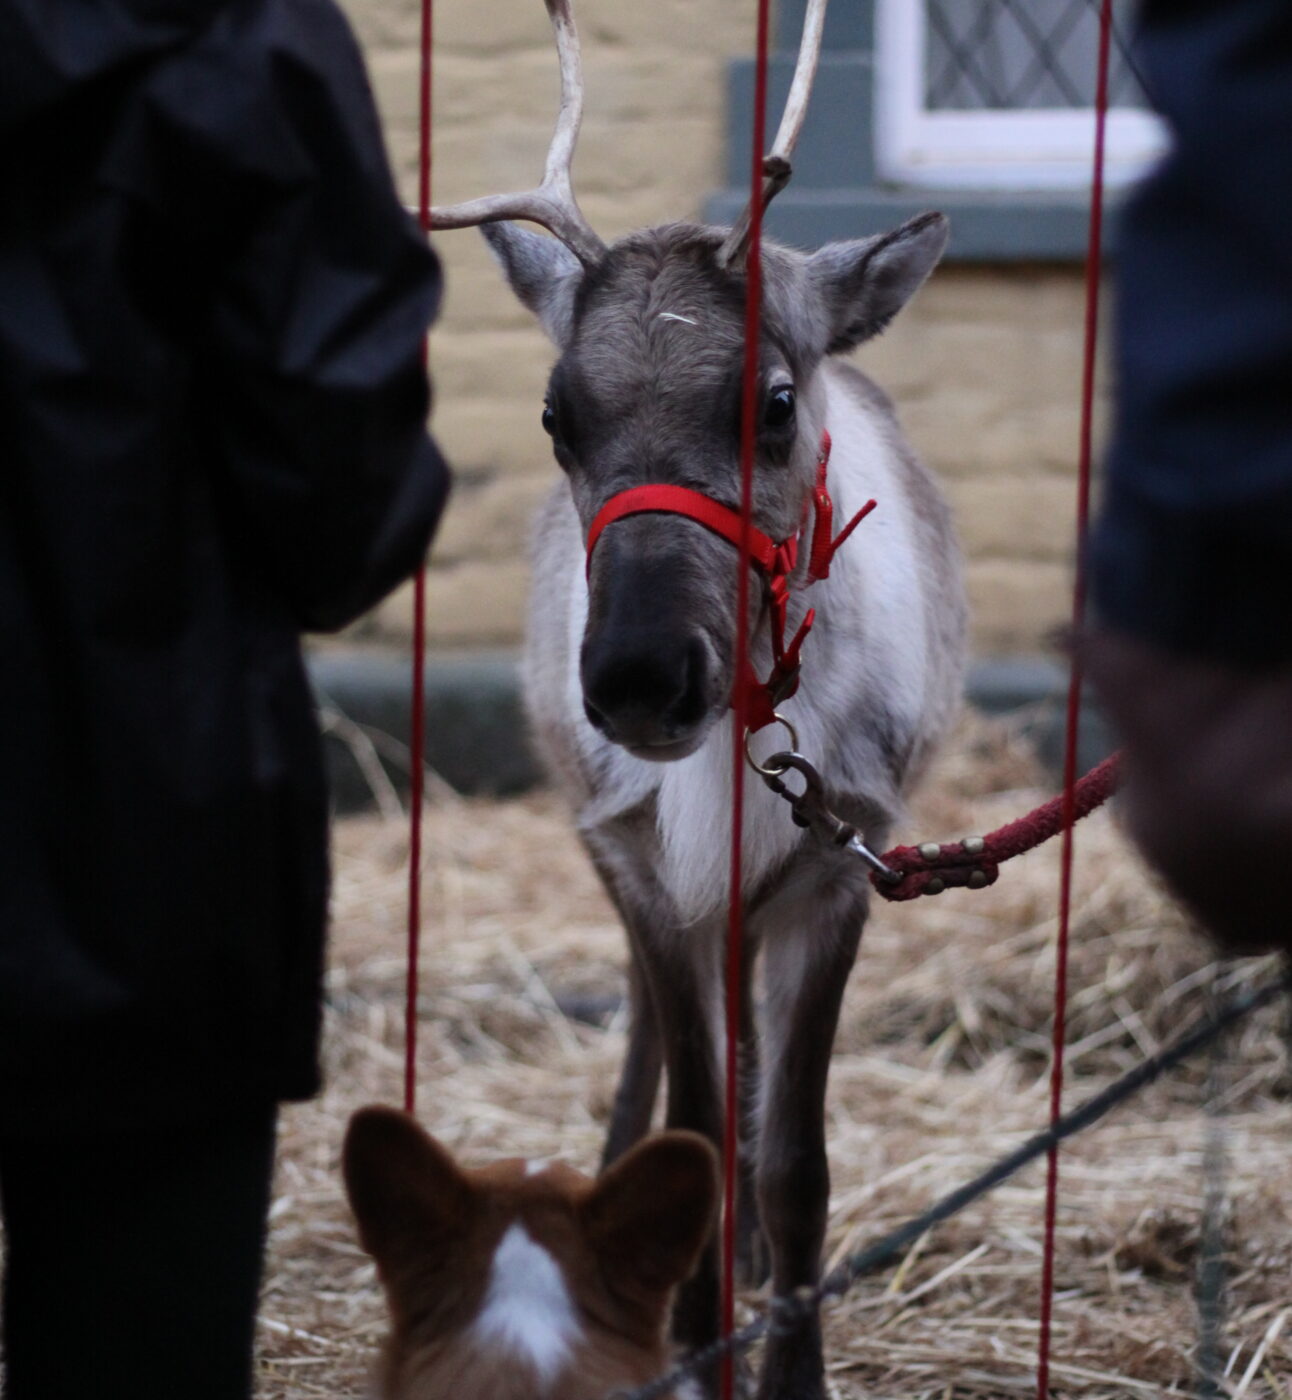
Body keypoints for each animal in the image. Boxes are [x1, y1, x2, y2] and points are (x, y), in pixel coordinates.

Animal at [429, 2, 966, 1397]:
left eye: (773, 403)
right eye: (554, 413)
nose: (635, 674)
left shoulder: (846, 864)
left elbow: (793, 1161)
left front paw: (787, 1366)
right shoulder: (645, 867)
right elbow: (699, 1124)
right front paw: (681, 1336)